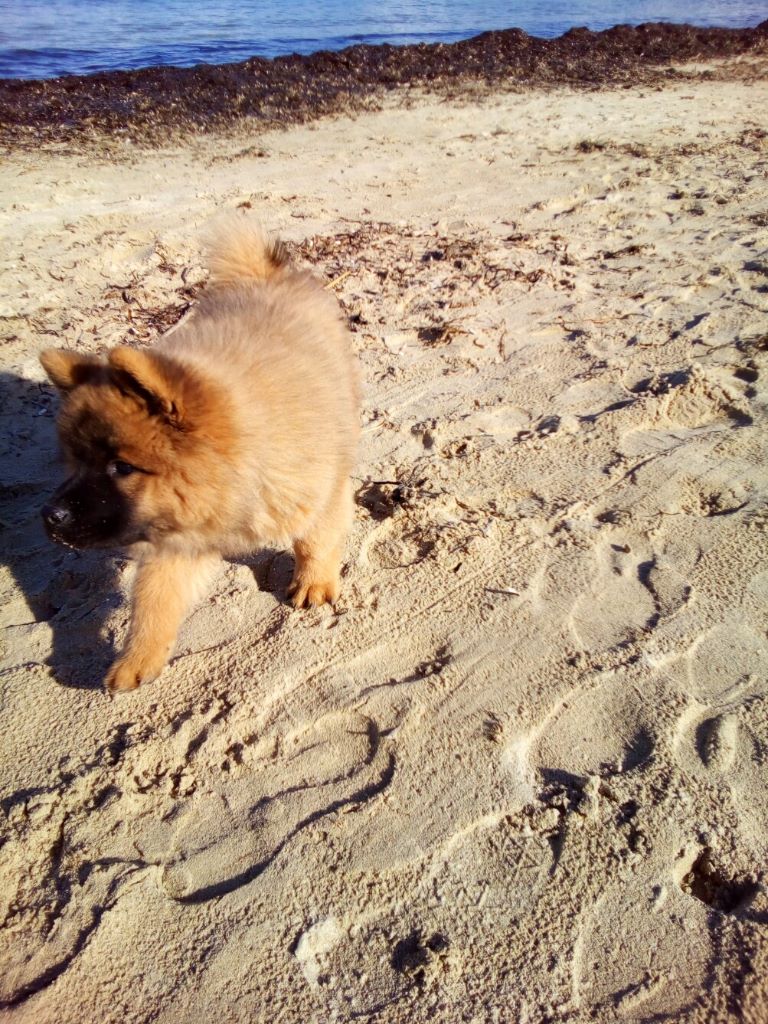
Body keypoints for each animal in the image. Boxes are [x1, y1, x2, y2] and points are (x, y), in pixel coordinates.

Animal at [40, 218, 359, 692]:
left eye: (121, 467)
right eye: (76, 464)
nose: (50, 516)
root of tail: (261, 276)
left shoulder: (319, 490)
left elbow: (315, 540)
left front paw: (314, 584)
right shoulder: (173, 539)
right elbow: (154, 600)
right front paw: (138, 658)